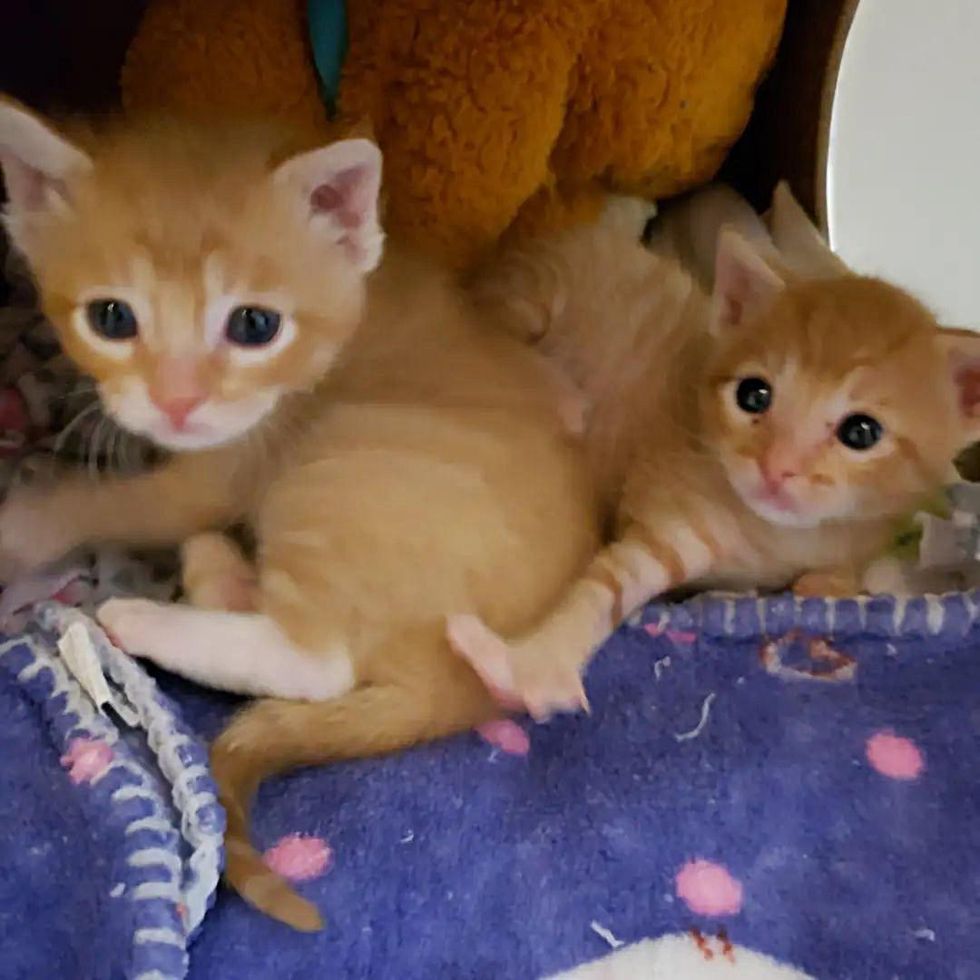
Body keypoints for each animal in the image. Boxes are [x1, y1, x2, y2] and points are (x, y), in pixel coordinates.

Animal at [0, 101, 596, 936]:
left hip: (336, 477)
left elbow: (106, 503)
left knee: (316, 661)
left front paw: (20, 525)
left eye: (254, 326)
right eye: (111, 317)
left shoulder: (223, 465)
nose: (177, 401)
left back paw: (142, 615)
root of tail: (483, 682)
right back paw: (216, 568)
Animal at [448, 195, 980, 720]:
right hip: (527, 299)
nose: (776, 467)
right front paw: (535, 666)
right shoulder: (670, 506)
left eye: (861, 431)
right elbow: (611, 586)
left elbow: (835, 579)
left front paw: (826, 584)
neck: (788, 539)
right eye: (753, 395)